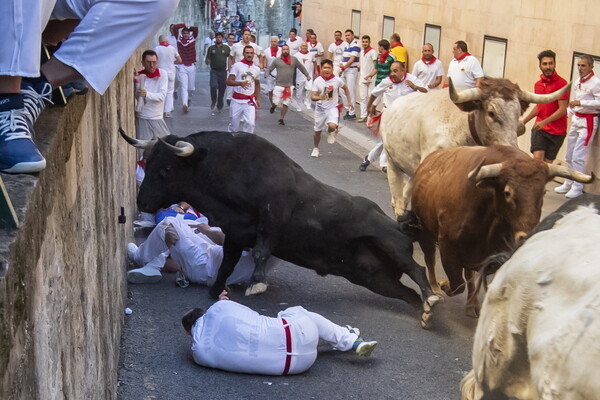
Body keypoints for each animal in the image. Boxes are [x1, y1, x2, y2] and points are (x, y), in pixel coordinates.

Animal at [122, 130, 440, 330]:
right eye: (147, 162)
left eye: (166, 169)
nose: (142, 201)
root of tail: (396, 223)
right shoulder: (234, 233)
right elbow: (226, 264)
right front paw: (216, 290)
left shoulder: (275, 210)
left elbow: (262, 249)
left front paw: (257, 283)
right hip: (374, 278)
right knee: (407, 294)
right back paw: (424, 314)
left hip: (389, 242)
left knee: (416, 269)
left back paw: (432, 297)